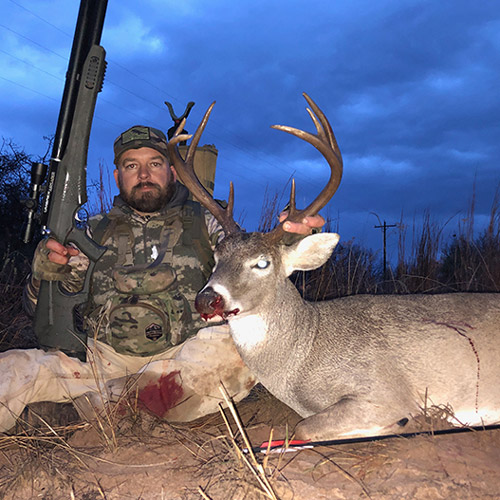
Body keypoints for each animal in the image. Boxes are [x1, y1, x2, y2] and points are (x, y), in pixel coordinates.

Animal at [167, 94, 500, 442]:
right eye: (217, 256)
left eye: (262, 263)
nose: (207, 300)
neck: (304, 354)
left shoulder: (386, 393)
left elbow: (305, 427)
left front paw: (417, 421)